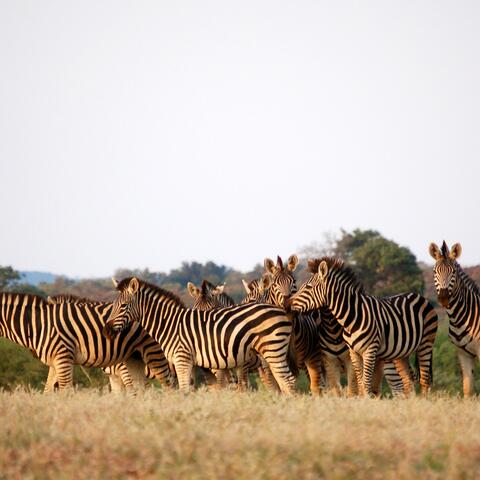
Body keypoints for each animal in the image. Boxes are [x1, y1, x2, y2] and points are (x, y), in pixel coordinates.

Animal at [104, 278, 296, 394]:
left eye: (123, 306)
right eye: (114, 305)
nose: (106, 330)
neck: (170, 324)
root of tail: (280, 310)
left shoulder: (183, 360)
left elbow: (186, 391)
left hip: (272, 350)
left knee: (286, 381)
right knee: (284, 381)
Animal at [286, 258, 436, 398]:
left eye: (308, 287)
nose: (287, 304)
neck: (351, 318)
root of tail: (418, 295)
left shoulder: (369, 350)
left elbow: (365, 382)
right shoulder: (353, 352)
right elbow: (359, 382)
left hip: (425, 343)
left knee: (424, 379)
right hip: (401, 353)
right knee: (408, 380)